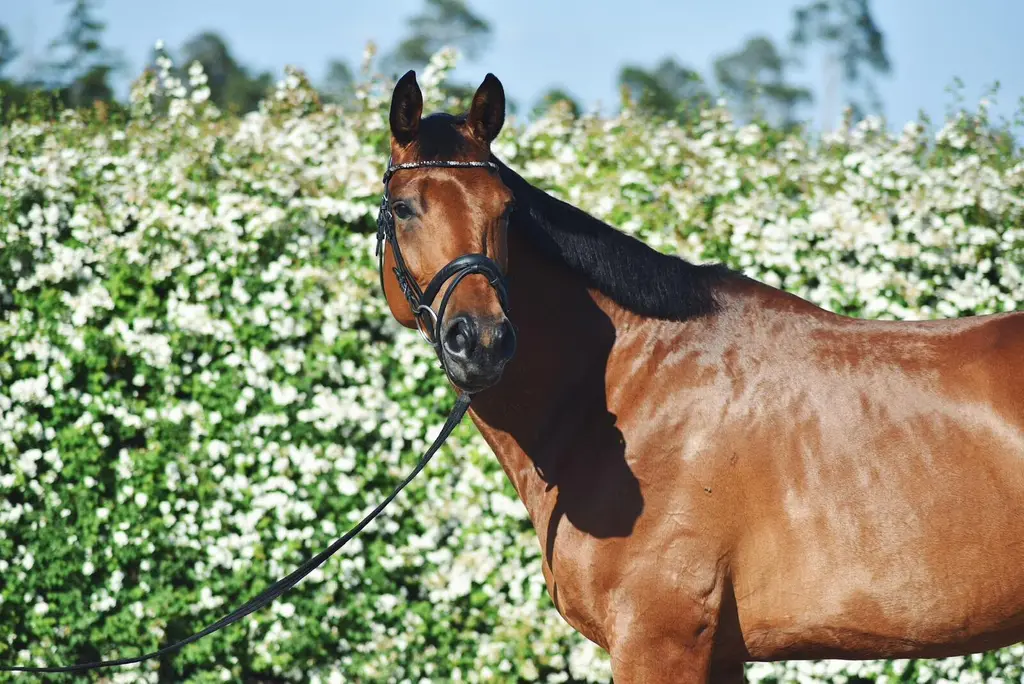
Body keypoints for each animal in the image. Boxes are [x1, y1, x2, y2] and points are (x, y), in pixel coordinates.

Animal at [377, 70, 1024, 683]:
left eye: (506, 211)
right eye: (404, 208)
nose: (482, 341)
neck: (633, 393)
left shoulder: (658, 641)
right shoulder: (720, 655)